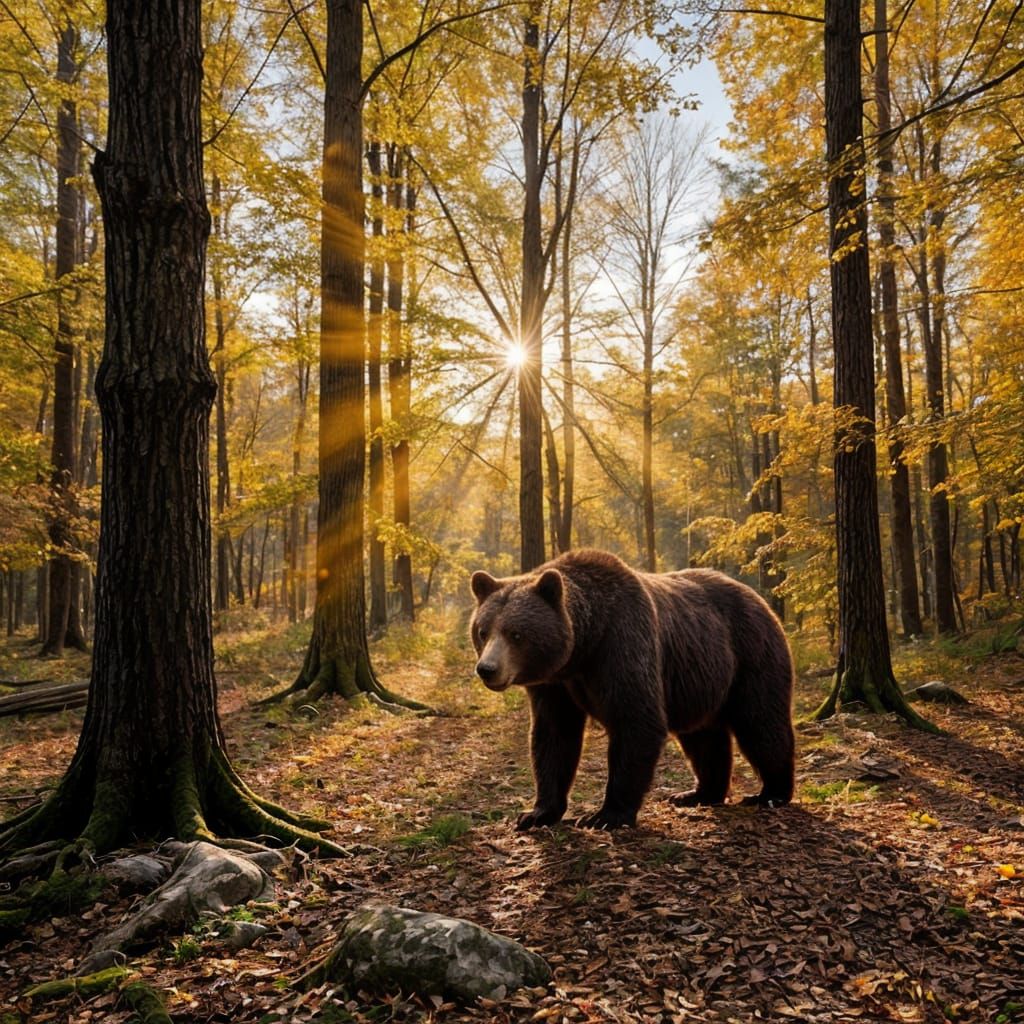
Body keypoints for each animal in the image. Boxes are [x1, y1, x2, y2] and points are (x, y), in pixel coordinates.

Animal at [469, 548, 795, 830]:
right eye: (483, 631)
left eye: (516, 634)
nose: (487, 668)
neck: (584, 647)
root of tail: (759, 598)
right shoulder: (555, 683)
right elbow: (554, 735)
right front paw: (536, 813)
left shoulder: (622, 644)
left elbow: (636, 720)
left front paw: (604, 815)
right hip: (699, 675)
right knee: (703, 736)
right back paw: (697, 794)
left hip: (751, 653)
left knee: (761, 722)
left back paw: (771, 793)